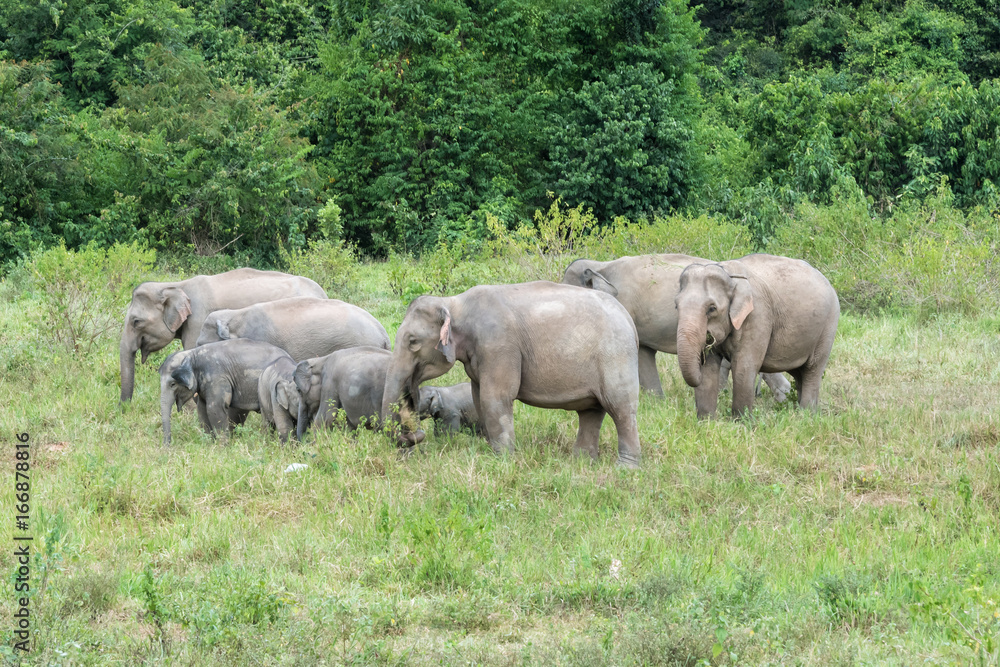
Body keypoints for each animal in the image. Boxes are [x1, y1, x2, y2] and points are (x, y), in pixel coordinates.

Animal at [159, 339, 292, 446]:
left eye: (172, 384)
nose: (167, 447)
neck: (193, 354)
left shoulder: (217, 378)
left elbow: (214, 409)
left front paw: (222, 447)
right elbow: (202, 409)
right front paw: (209, 444)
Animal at [381, 282, 642, 467]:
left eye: (413, 342)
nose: (412, 436)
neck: (456, 303)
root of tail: (628, 318)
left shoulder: (499, 346)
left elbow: (495, 397)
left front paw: (502, 460)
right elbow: (479, 398)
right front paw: (491, 453)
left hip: (615, 356)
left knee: (620, 408)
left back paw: (625, 469)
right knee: (591, 411)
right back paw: (581, 462)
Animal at [674, 253, 840, 418]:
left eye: (712, 308)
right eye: (676, 306)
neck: (729, 274)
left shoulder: (757, 315)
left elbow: (744, 366)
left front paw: (741, 421)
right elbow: (708, 368)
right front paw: (706, 420)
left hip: (828, 326)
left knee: (813, 369)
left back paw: (806, 416)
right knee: (799, 372)